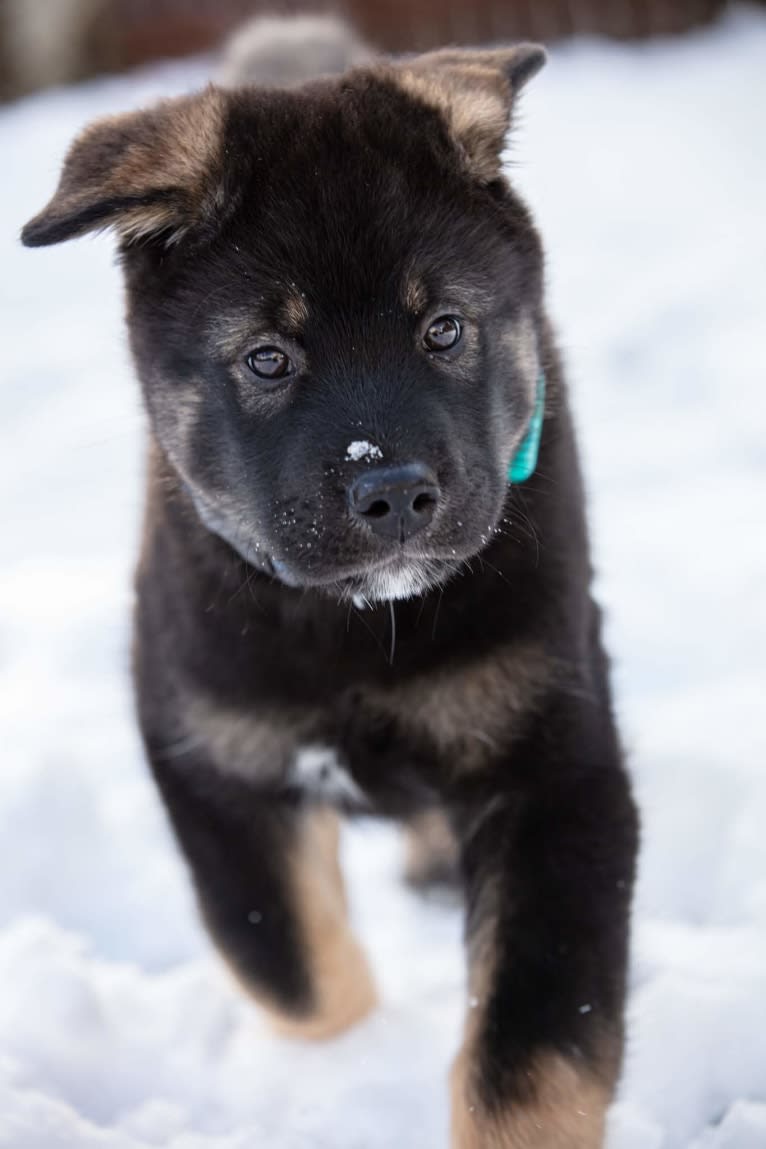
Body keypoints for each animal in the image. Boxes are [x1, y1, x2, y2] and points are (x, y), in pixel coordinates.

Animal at [22, 31, 643, 1144]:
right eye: (268, 358)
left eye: (443, 328)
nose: (391, 491)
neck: (356, 629)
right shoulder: (211, 752)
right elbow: (290, 962)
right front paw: (338, 1069)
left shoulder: (552, 765)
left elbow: (534, 1045)